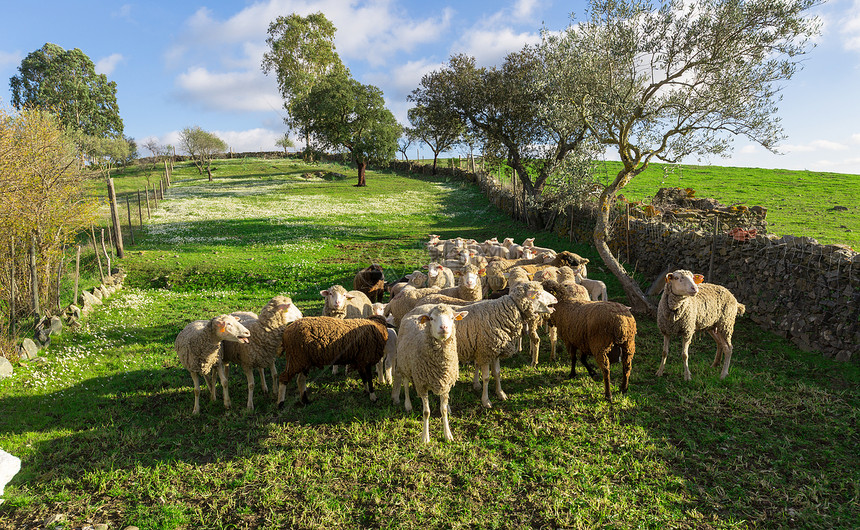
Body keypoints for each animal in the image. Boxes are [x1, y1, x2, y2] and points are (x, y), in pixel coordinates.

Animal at [392, 302, 466, 442]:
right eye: (431, 318)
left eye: (452, 318)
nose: (444, 327)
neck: (440, 365)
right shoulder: (422, 384)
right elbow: (426, 412)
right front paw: (425, 437)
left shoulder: (445, 382)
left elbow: (443, 410)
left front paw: (448, 434)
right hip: (405, 365)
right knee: (405, 384)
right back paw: (408, 405)